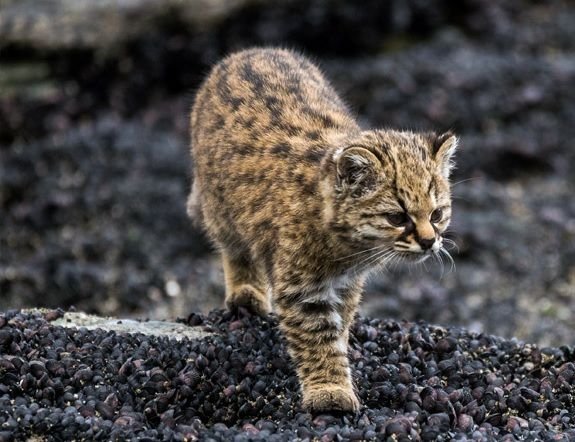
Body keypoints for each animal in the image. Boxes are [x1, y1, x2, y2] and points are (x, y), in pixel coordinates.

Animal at [189, 49, 460, 414]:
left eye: (437, 214)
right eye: (397, 217)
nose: (430, 241)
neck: (348, 248)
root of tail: (249, 52)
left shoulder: (347, 284)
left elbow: (340, 322)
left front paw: (340, 350)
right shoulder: (302, 288)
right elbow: (316, 338)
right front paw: (330, 390)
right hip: (219, 207)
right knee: (234, 247)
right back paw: (246, 291)